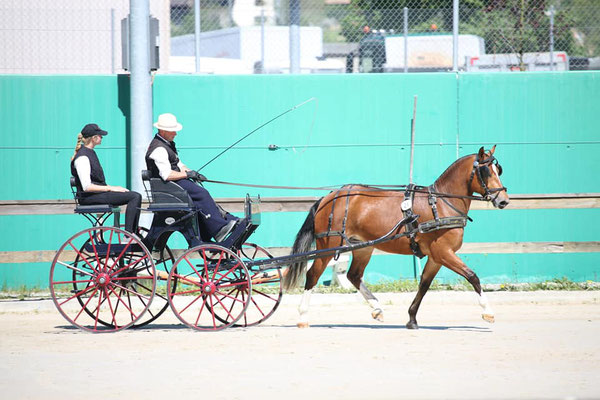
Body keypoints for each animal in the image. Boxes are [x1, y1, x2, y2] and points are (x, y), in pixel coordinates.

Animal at [284, 146, 508, 328]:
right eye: (486, 171)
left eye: (499, 170)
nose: (504, 200)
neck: (441, 204)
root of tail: (328, 197)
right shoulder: (443, 252)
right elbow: (472, 276)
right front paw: (488, 313)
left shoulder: (436, 257)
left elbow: (424, 284)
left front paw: (412, 319)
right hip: (327, 246)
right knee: (313, 275)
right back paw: (303, 317)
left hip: (363, 247)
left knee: (354, 276)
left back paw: (377, 309)